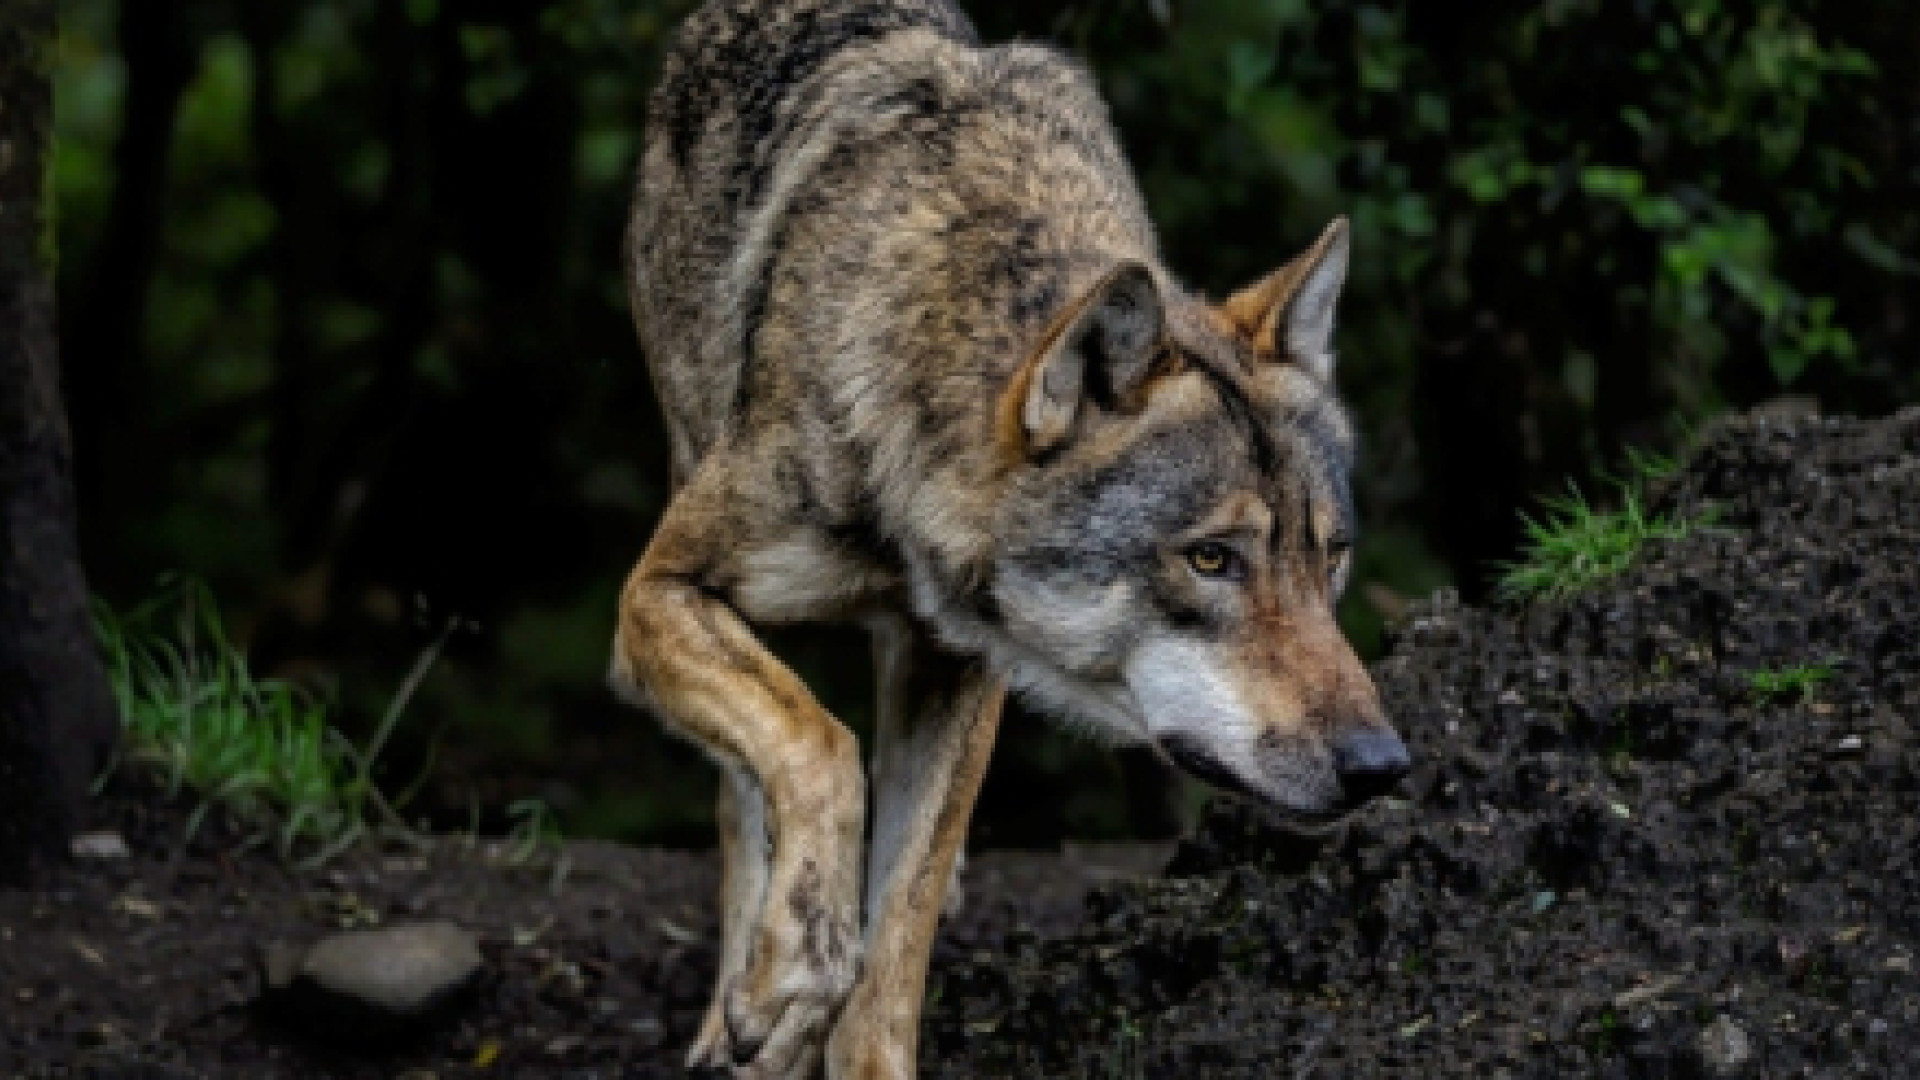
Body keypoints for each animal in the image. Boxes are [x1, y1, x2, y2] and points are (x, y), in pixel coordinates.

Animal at [610, 0, 1413, 1068]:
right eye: (1211, 559)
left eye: (1330, 558)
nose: (1382, 766)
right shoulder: (656, 594)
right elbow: (815, 744)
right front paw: (790, 973)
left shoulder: (960, 665)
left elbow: (895, 938)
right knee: (745, 790)